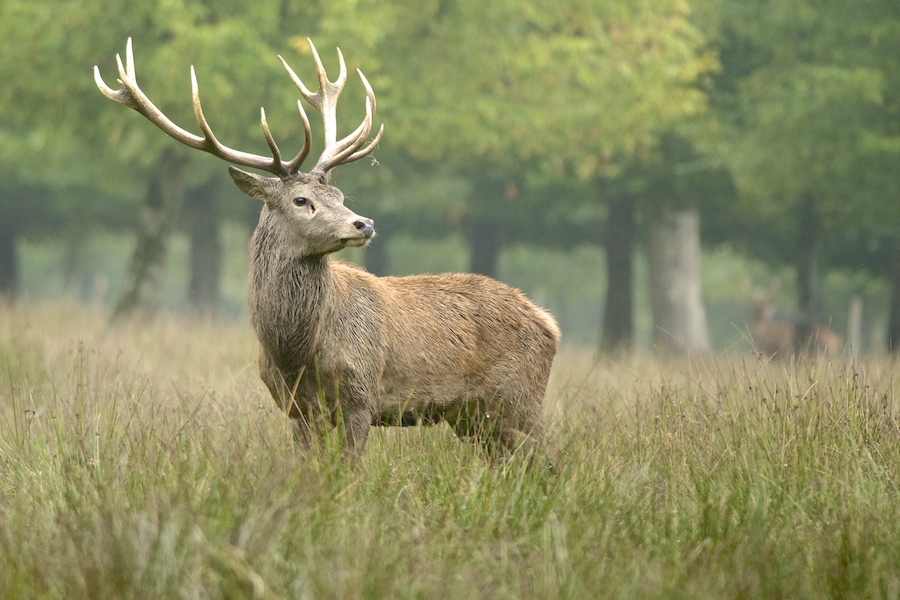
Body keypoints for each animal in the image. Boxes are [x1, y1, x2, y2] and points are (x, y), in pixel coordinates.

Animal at [100, 39, 564, 458]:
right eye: (301, 200)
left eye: (340, 195)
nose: (365, 223)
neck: (296, 354)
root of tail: (549, 322)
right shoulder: (297, 410)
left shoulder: (363, 395)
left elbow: (350, 471)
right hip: (474, 417)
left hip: (518, 400)